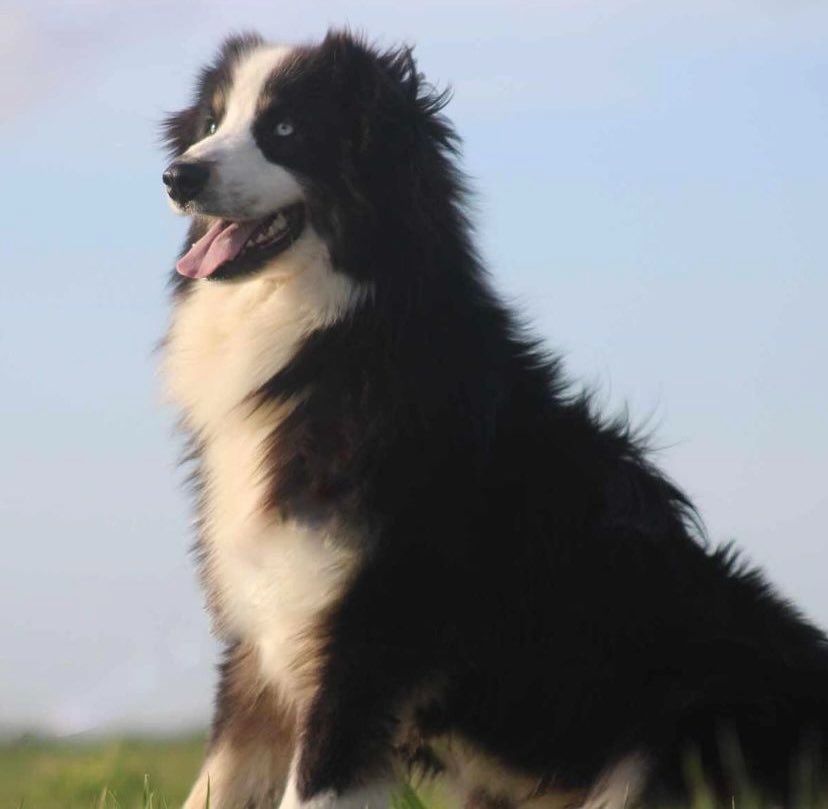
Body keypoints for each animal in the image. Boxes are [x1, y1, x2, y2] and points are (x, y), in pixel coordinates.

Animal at [161, 30, 828, 809]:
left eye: (286, 130)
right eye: (211, 123)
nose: (177, 176)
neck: (338, 334)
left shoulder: (366, 633)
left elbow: (315, 783)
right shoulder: (262, 637)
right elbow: (215, 780)